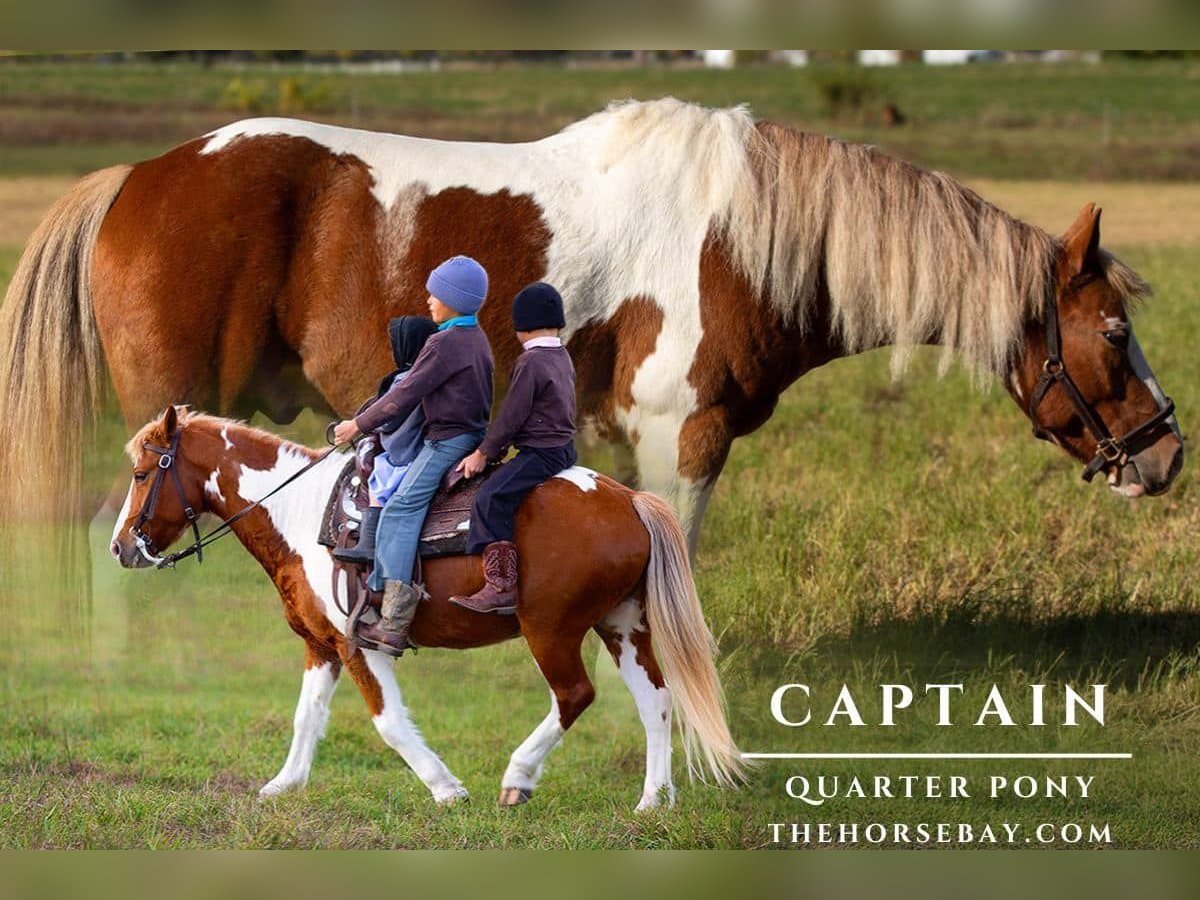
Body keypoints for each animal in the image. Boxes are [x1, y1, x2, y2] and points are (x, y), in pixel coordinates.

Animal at [107, 405, 743, 809]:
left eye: (141, 473)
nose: (119, 548)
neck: (302, 516)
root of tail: (630, 499)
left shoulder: (359, 644)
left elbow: (389, 723)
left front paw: (446, 788)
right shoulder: (321, 645)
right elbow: (306, 716)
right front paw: (284, 785)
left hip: (551, 629)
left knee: (574, 696)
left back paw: (518, 776)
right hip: (622, 625)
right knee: (655, 702)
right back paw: (653, 801)